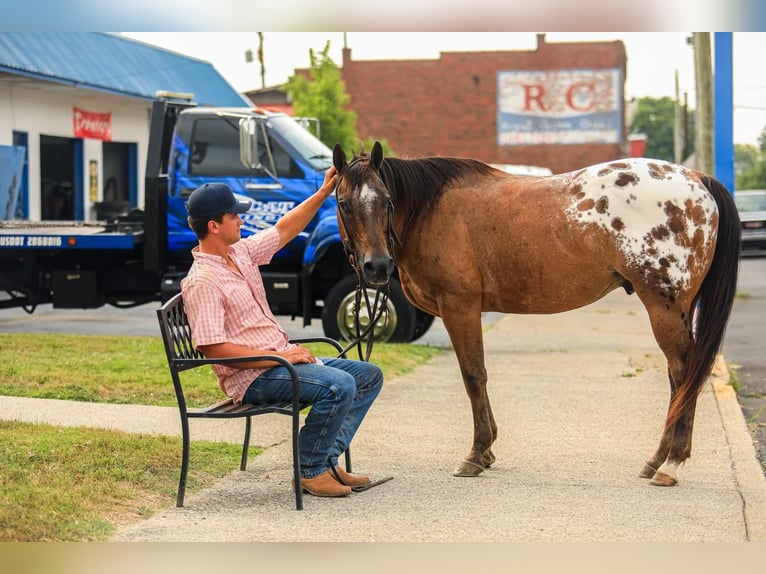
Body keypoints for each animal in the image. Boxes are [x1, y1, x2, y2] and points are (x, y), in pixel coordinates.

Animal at [332, 142, 740, 488]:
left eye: (387, 202)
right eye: (344, 203)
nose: (376, 267)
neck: (429, 210)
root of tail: (699, 180)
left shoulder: (460, 307)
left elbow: (473, 375)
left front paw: (477, 453)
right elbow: (477, 375)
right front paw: (487, 451)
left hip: (664, 308)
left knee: (683, 374)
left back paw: (670, 464)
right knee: (680, 380)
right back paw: (657, 460)